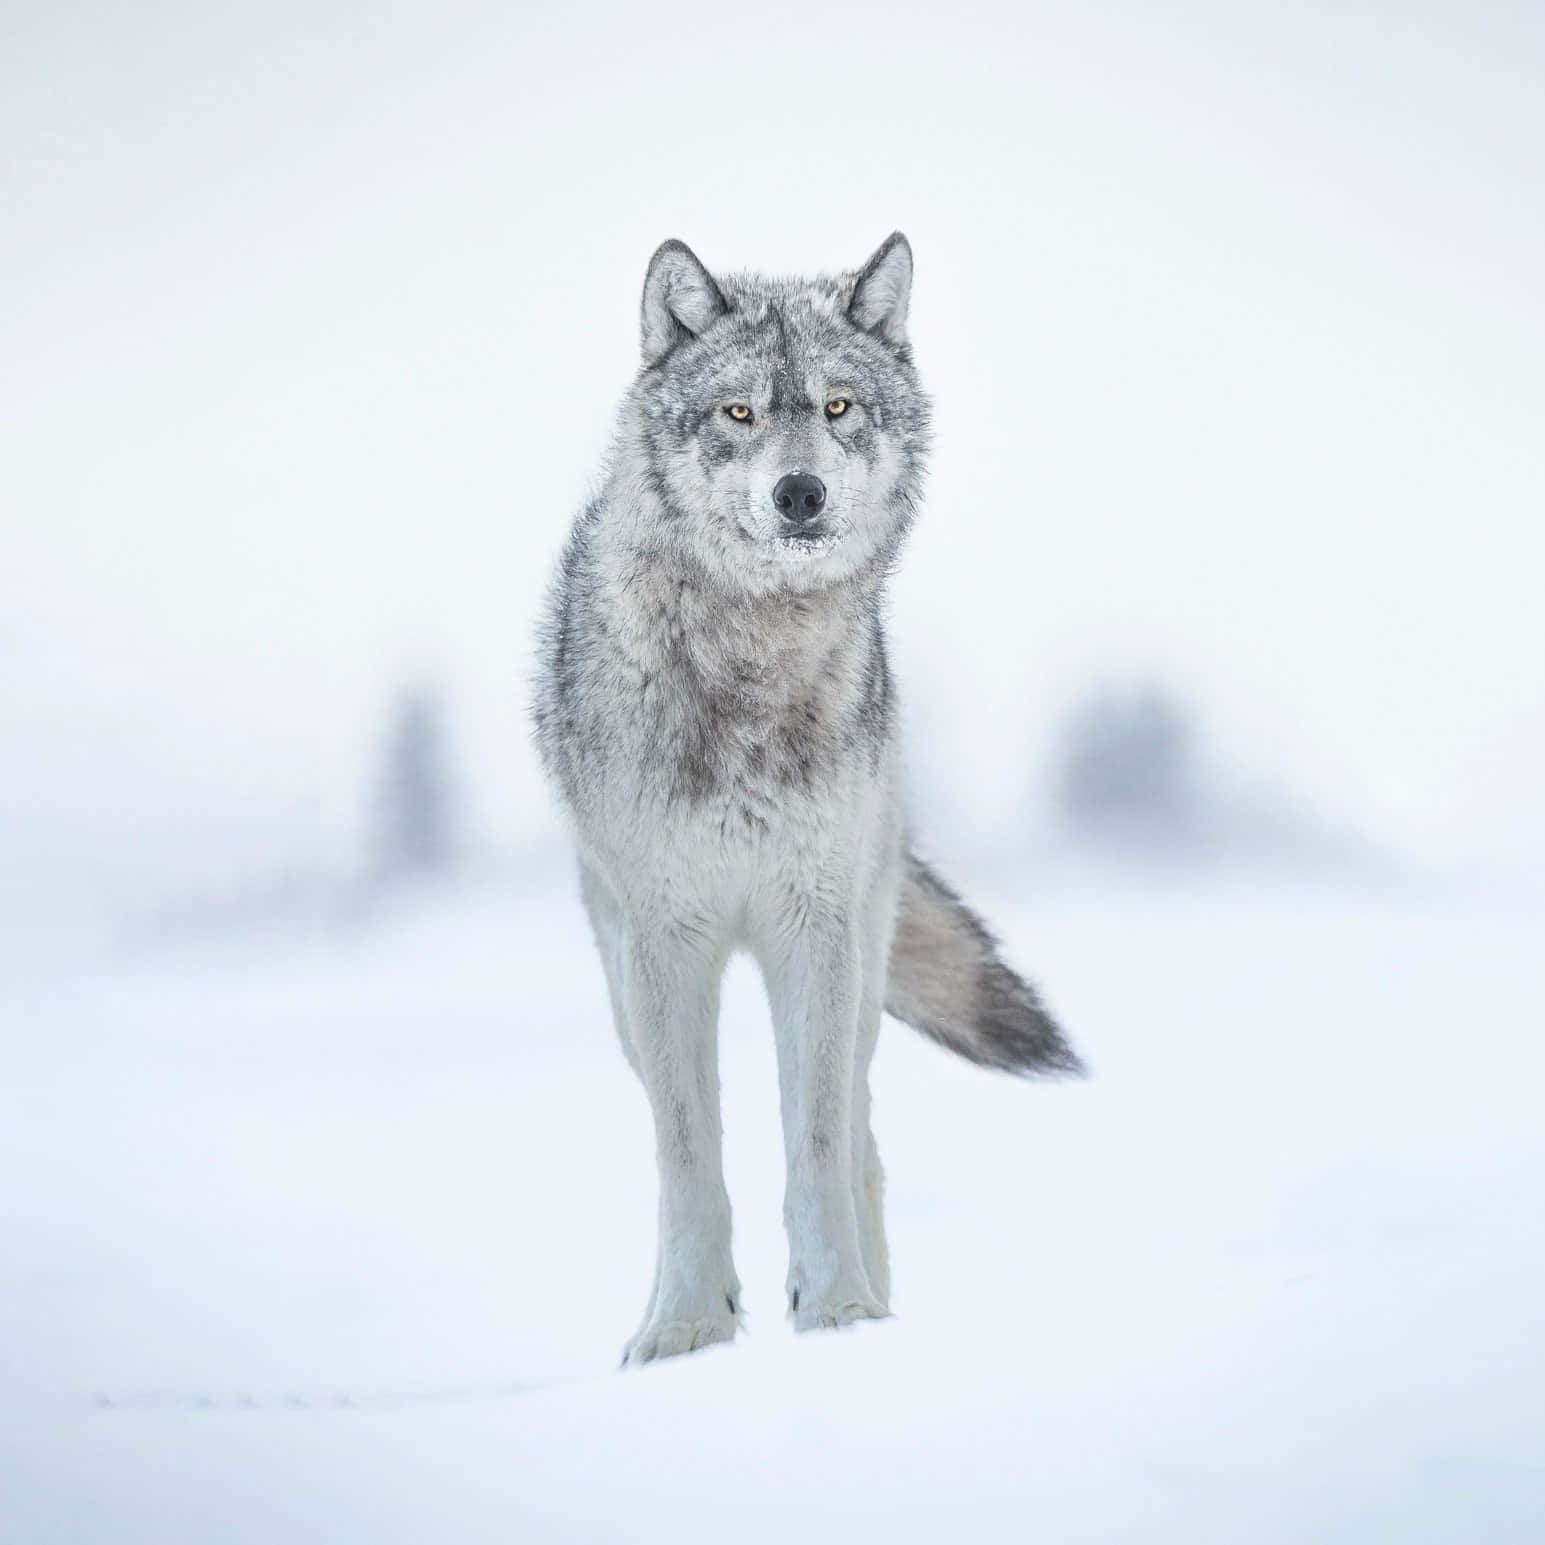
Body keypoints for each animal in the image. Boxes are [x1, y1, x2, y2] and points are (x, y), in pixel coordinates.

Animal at [533, 234, 1083, 1365]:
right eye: (739, 412)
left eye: (836, 407)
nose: (800, 494)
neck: (752, 665)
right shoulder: (667, 945)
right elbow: (687, 1156)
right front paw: (686, 1326)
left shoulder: (813, 932)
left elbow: (819, 1143)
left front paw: (837, 1313)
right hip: (621, 976)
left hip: (861, 961)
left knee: (861, 1132)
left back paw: (877, 1297)